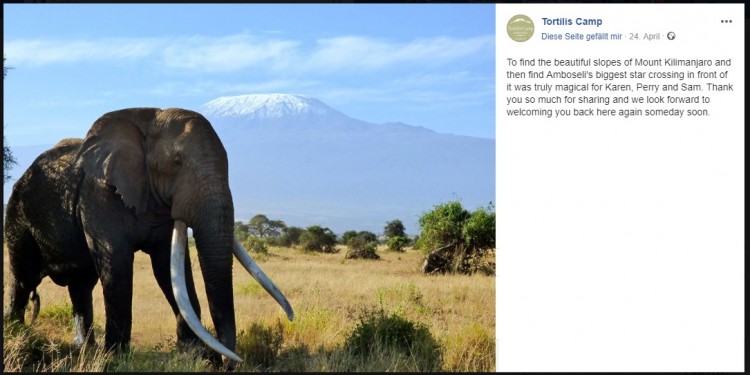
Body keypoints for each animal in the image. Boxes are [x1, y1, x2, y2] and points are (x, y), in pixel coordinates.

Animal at [4, 107, 296, 368]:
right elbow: (117, 263)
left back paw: (84, 350)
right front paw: (116, 359)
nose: (228, 364)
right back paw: (18, 334)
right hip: (18, 213)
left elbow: (169, 269)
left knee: (80, 286)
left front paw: (195, 356)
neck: (148, 121)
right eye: (176, 163)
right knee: (24, 279)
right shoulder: (99, 194)